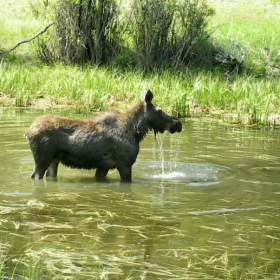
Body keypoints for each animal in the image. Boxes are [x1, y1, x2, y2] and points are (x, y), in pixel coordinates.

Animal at [26, 89, 183, 182]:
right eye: (159, 110)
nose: (178, 123)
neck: (136, 133)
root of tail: (27, 132)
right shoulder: (125, 163)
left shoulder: (103, 166)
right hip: (43, 158)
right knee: (35, 176)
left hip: (54, 160)